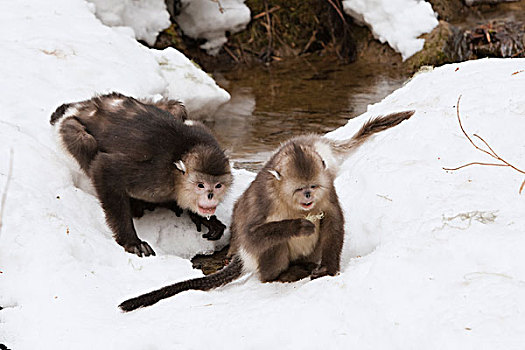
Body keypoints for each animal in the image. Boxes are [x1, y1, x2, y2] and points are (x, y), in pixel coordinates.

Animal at [50, 93, 231, 258]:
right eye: (201, 185)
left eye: (218, 186)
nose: (210, 196)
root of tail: (84, 107)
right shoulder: (155, 174)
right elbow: (104, 168)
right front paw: (131, 241)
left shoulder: (205, 134)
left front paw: (204, 218)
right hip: (67, 127)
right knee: (85, 142)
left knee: (178, 108)